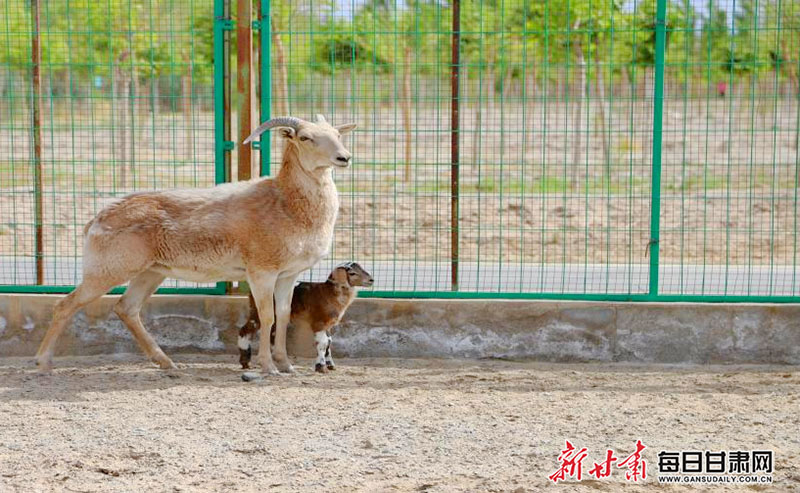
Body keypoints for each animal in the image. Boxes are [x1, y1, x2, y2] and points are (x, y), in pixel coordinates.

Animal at [36, 114, 356, 376]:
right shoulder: (261, 272)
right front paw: (268, 367)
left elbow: (284, 314)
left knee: (126, 308)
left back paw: (167, 363)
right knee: (65, 305)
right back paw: (44, 362)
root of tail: (94, 221)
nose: (344, 158)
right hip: (107, 270)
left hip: (151, 272)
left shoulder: (288, 274)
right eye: (305, 137)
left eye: (336, 134)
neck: (285, 203)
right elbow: (267, 316)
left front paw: (287, 366)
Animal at [239, 262, 374, 372]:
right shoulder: (319, 322)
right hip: (257, 311)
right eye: (352, 273)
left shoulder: (328, 325)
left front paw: (331, 365)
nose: (371, 280)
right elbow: (323, 343)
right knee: (245, 330)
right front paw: (321, 367)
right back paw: (246, 362)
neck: (329, 293)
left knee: (272, 335)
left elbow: (329, 342)